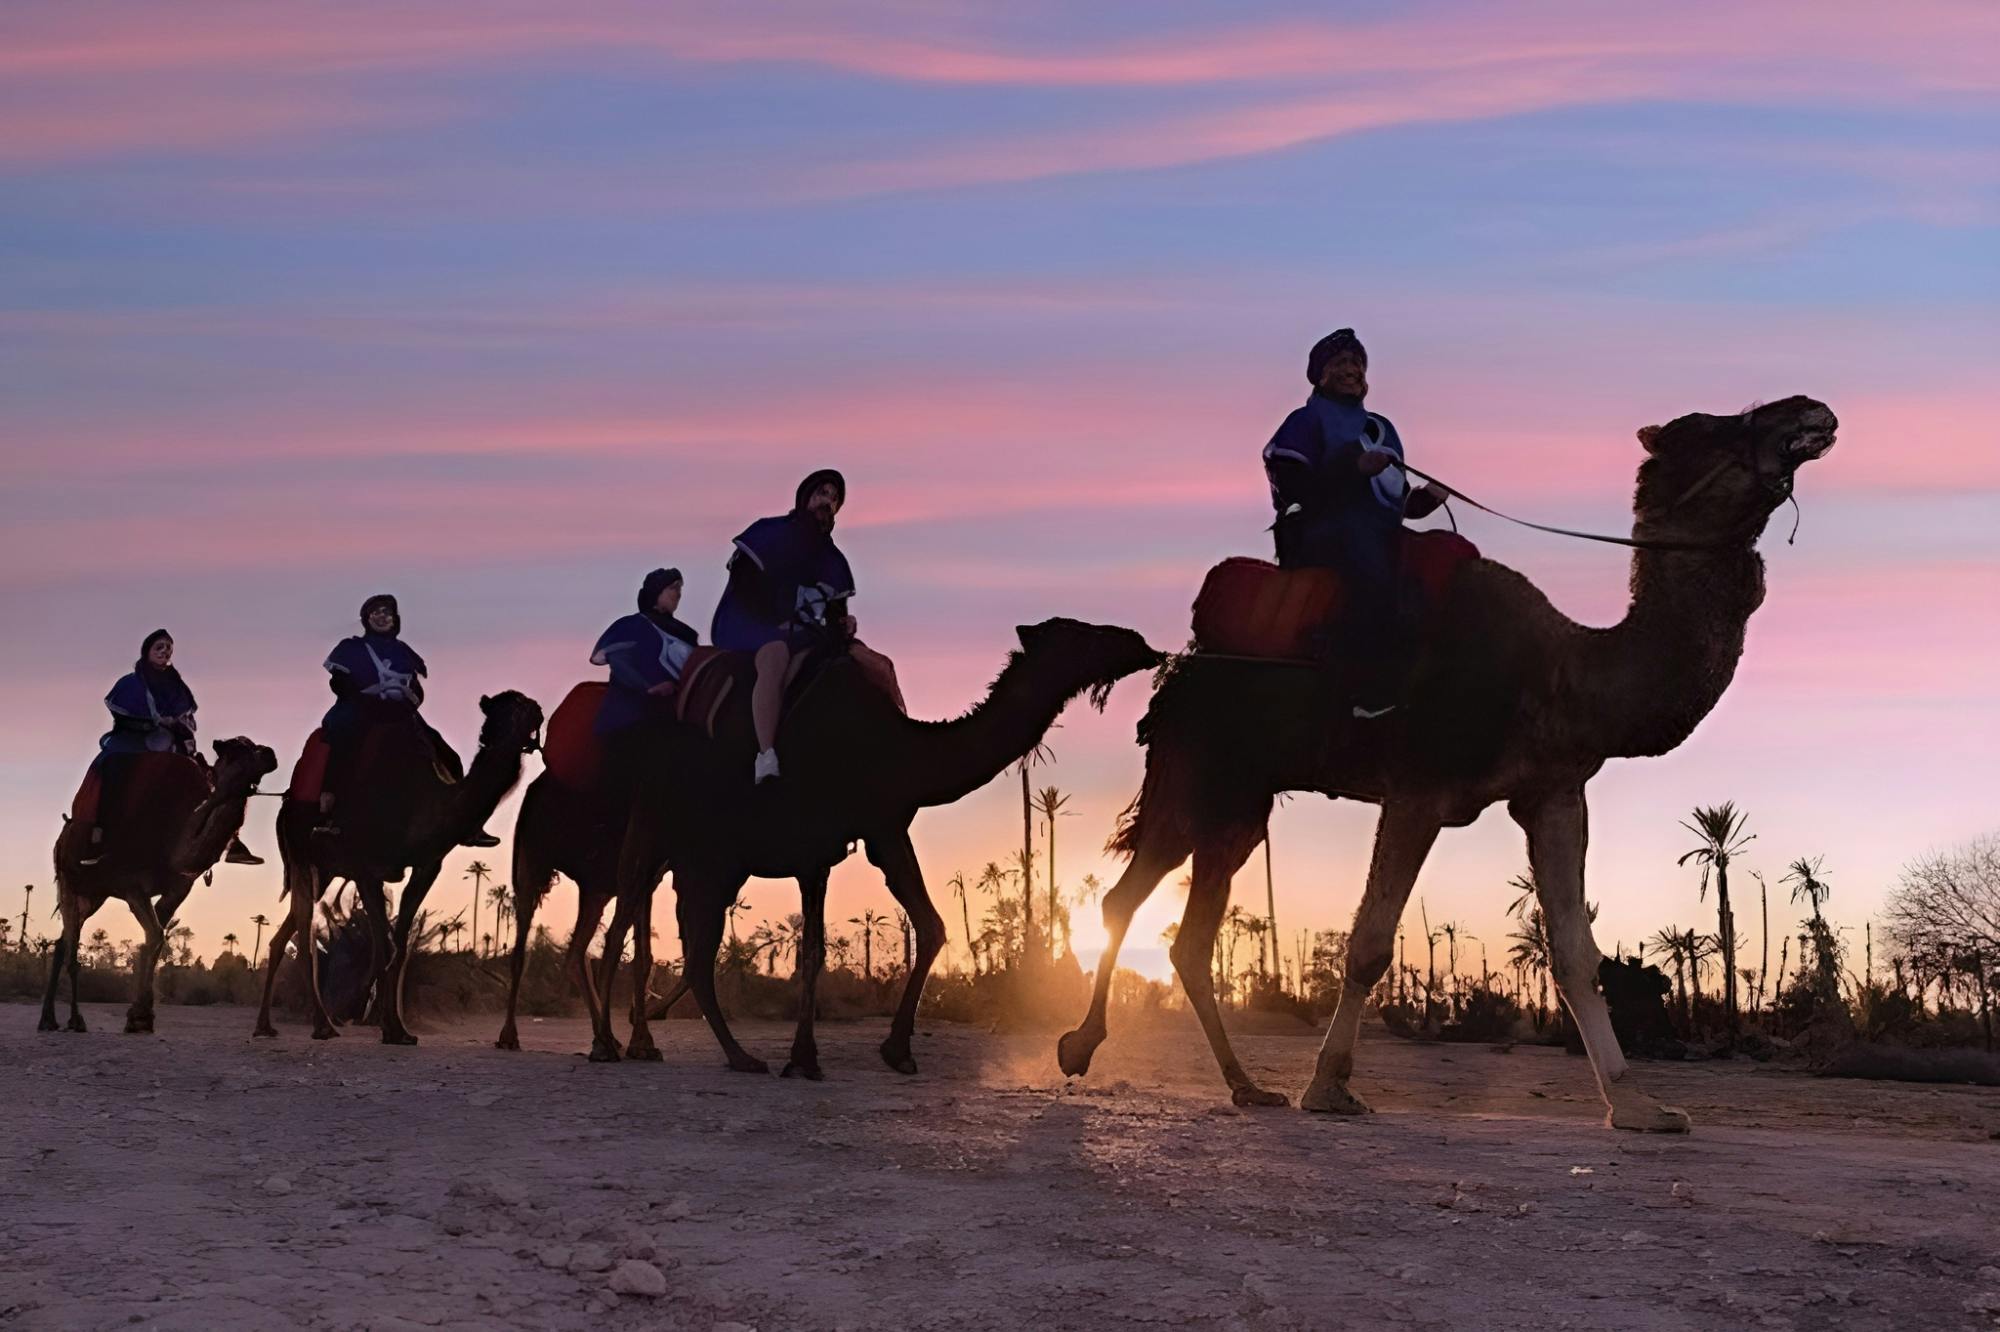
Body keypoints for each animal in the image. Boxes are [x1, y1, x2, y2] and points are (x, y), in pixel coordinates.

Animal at [40, 740, 276, 1032]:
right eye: (235, 749)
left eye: (253, 745)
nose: (270, 754)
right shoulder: (132, 887)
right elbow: (154, 935)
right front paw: (138, 1016)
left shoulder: (177, 890)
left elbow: (156, 938)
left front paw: (142, 1015)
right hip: (70, 883)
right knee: (71, 946)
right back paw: (73, 1019)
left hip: (94, 895)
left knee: (63, 942)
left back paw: (49, 1018)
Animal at [254, 688, 544, 1040]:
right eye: (509, 708)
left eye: (525, 705)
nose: (536, 709)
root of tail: (287, 801)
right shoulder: (366, 868)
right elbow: (383, 946)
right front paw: (386, 1026)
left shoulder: (427, 866)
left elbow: (401, 947)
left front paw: (397, 1027)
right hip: (301, 856)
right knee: (305, 936)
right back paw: (322, 1025)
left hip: (324, 871)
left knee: (283, 936)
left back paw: (266, 1025)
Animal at [616, 616, 1168, 1072]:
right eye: (1081, 633)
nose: (1140, 643)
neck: (897, 749)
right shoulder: (852, 835)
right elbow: (823, 945)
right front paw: (822, 1056)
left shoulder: (872, 831)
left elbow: (925, 926)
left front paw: (886, 1050)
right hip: (670, 838)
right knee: (650, 919)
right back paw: (658, 1043)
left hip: (703, 856)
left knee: (678, 933)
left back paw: (673, 1038)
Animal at [1064, 400, 1840, 1128]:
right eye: (1718, 425)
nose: (1811, 410)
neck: (1563, 671)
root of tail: (1178, 668)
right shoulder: (1419, 789)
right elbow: (1370, 943)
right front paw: (1329, 1088)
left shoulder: (1554, 792)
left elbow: (1575, 954)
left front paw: (1638, 1105)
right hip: (1196, 770)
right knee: (1131, 900)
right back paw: (1081, 1046)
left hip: (1239, 800)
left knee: (1187, 933)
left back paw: (1244, 1085)